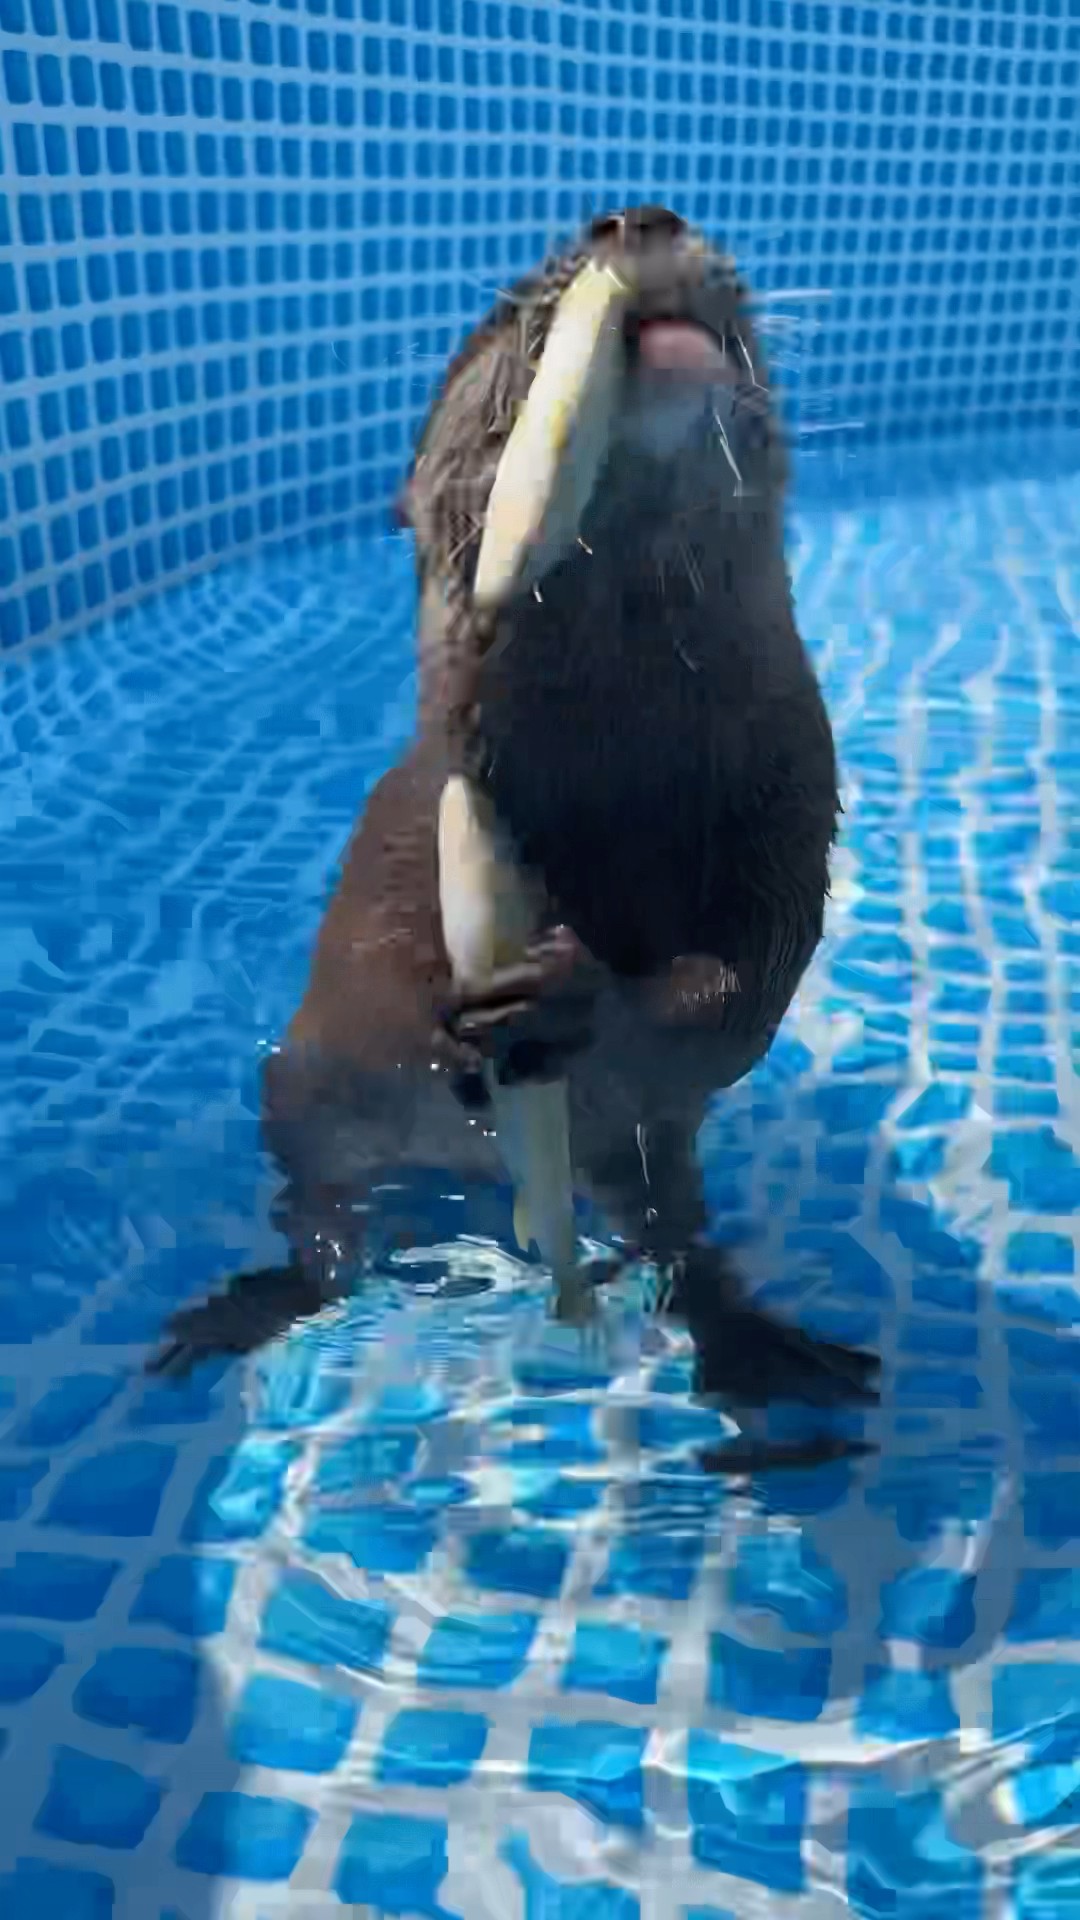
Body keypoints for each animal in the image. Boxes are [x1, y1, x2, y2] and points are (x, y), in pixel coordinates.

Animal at [151, 206, 878, 1411]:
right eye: (502, 309)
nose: (641, 217)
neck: (619, 770)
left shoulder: (787, 815)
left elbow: (736, 997)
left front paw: (570, 992)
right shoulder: (430, 810)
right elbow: (389, 969)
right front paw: (472, 1006)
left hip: (647, 1159)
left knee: (677, 1243)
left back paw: (766, 1358)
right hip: (300, 1102)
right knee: (323, 1222)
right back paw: (261, 1303)